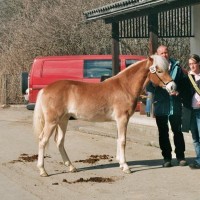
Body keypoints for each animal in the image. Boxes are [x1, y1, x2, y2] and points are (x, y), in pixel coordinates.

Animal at [33, 54, 177, 177]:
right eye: (159, 71)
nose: (172, 87)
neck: (125, 87)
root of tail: (45, 89)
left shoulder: (119, 121)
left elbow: (118, 139)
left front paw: (120, 164)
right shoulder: (122, 119)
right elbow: (123, 141)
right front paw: (125, 167)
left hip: (63, 120)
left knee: (60, 141)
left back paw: (71, 167)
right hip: (52, 121)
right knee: (42, 141)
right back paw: (42, 170)